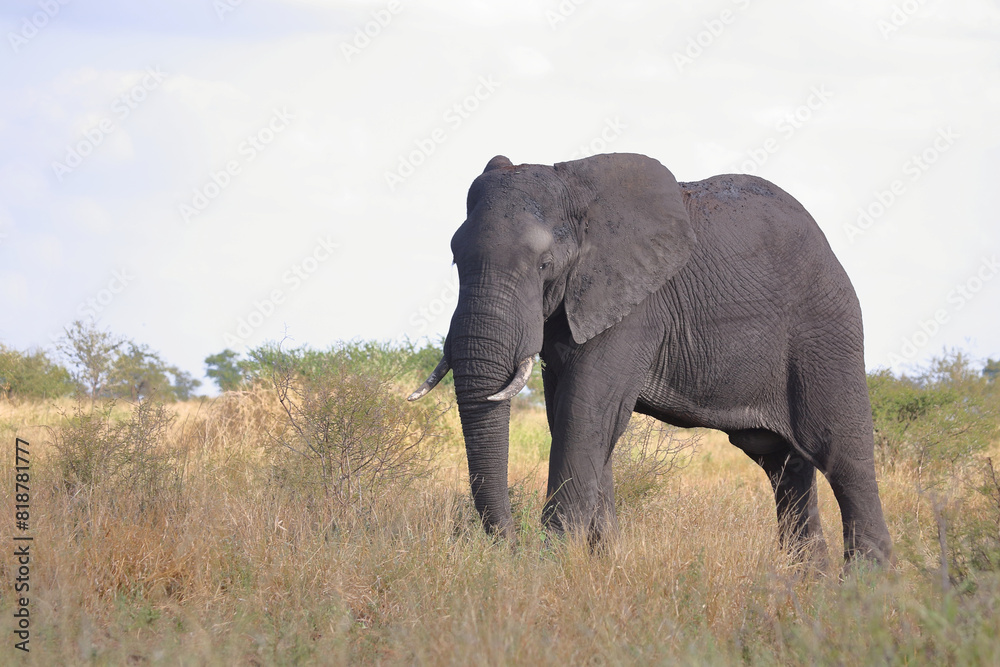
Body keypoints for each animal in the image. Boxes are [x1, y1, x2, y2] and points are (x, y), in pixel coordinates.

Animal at [410, 154, 896, 568]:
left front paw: (548, 568)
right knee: (785, 467)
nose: (509, 547)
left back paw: (867, 588)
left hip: (826, 331)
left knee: (842, 454)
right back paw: (807, 583)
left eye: (545, 263)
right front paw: (601, 565)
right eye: (455, 258)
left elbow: (584, 416)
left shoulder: (637, 305)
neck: (575, 187)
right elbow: (575, 418)